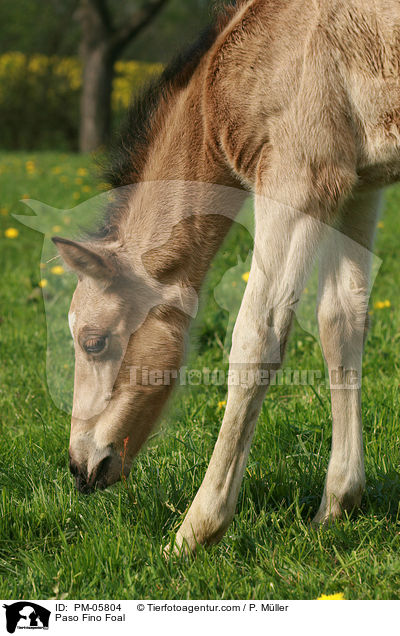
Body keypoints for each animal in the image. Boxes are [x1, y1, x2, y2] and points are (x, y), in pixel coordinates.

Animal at [53, 0, 400, 552]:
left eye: (93, 341)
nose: (79, 467)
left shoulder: (298, 182)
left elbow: (256, 342)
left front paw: (194, 532)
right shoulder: (359, 188)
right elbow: (341, 322)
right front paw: (337, 506)